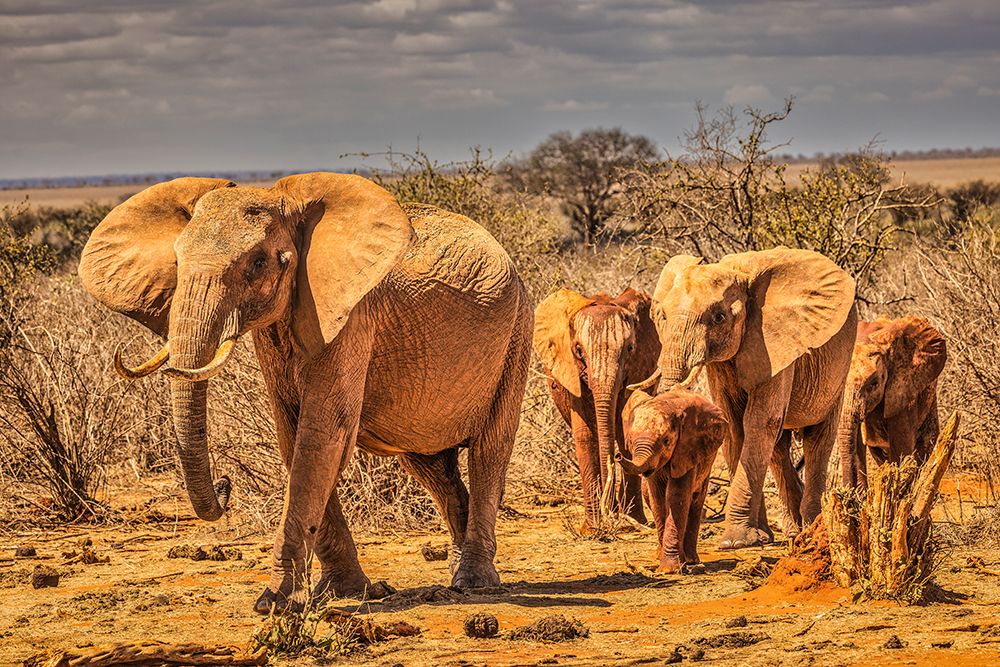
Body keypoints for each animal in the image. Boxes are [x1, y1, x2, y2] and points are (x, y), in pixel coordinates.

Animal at [78, 173, 533, 612]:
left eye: (258, 263)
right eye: (176, 261)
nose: (226, 485)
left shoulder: (351, 320)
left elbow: (321, 435)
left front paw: (275, 603)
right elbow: (293, 434)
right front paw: (347, 592)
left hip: (517, 333)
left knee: (489, 451)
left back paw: (474, 583)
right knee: (431, 464)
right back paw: (456, 576)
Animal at [533, 288, 660, 531]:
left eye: (630, 348)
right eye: (579, 350)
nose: (611, 514)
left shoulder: (638, 368)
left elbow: (623, 430)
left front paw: (634, 520)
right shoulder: (571, 372)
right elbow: (585, 435)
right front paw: (591, 529)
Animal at [618, 387, 727, 573]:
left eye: (666, 441)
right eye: (630, 441)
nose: (617, 455)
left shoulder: (688, 450)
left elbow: (677, 497)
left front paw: (669, 570)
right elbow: (658, 499)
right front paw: (668, 566)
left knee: (696, 500)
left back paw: (691, 560)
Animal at [646, 248, 858, 549]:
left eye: (719, 318)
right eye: (662, 315)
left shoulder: (775, 341)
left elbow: (760, 422)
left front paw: (736, 542)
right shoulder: (724, 361)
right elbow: (735, 426)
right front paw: (756, 538)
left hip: (839, 366)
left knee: (817, 438)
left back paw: (810, 528)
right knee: (779, 446)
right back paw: (792, 531)